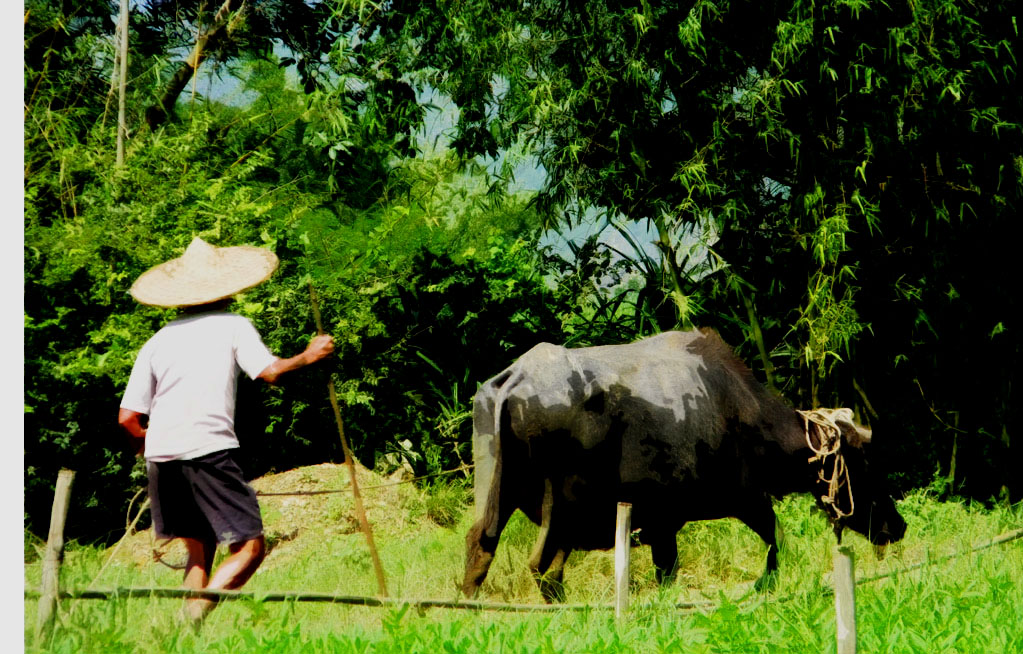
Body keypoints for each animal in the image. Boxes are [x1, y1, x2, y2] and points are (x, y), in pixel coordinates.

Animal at [462, 329, 904, 601]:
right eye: (865, 461)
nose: (897, 526)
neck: (734, 408)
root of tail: (514, 378)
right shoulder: (729, 503)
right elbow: (775, 539)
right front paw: (763, 586)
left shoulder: (667, 523)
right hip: (562, 508)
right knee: (542, 567)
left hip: (495, 491)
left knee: (480, 545)